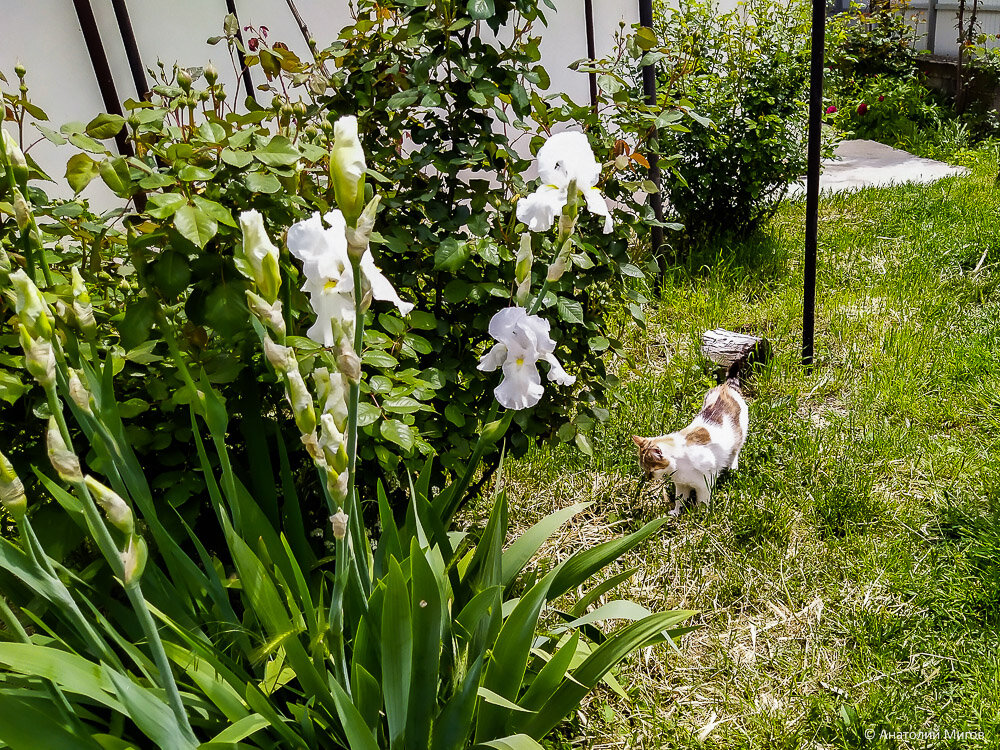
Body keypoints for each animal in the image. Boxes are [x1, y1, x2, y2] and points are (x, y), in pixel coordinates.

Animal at [636, 364, 748, 516]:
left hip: (740, 436)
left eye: (650, 471)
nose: (648, 478)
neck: (679, 466)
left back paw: (732, 466)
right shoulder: (681, 484)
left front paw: (700, 515)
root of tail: (726, 386)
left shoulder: (705, 484)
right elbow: (680, 499)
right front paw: (676, 513)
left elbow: (702, 502)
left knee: (736, 451)